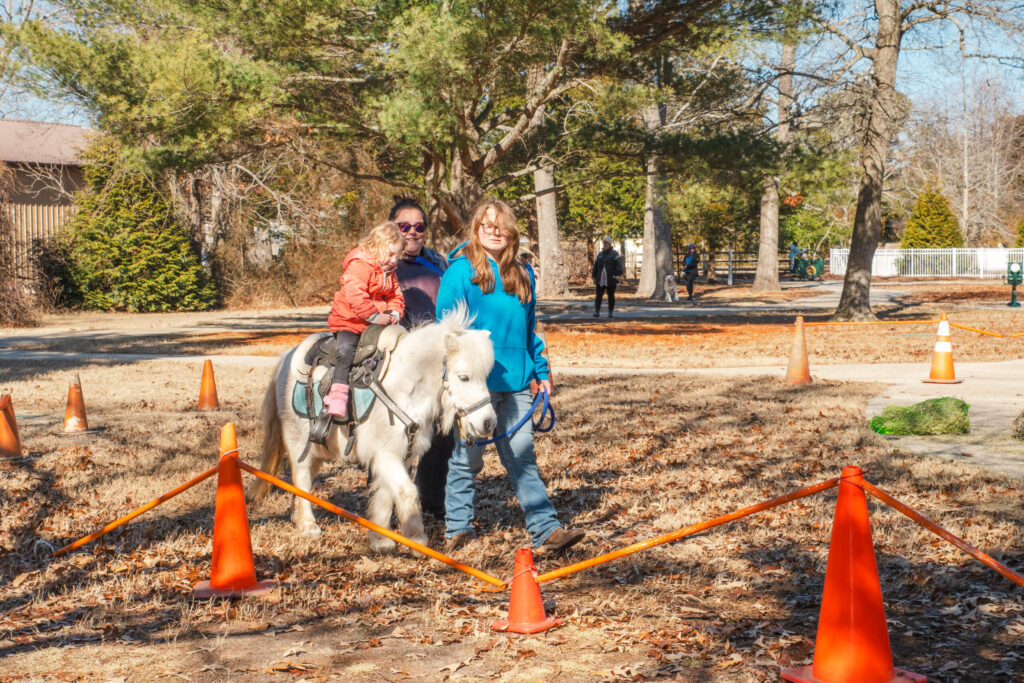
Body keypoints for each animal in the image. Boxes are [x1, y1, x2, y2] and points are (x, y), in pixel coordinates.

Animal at [249, 307, 497, 552]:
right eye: (463, 377)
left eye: (486, 376)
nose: (489, 423)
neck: (404, 389)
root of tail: (287, 357)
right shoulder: (385, 454)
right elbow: (408, 491)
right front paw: (416, 539)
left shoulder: (401, 455)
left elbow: (385, 496)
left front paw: (381, 540)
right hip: (298, 442)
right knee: (302, 479)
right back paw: (309, 526)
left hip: (316, 450)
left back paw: (298, 519)